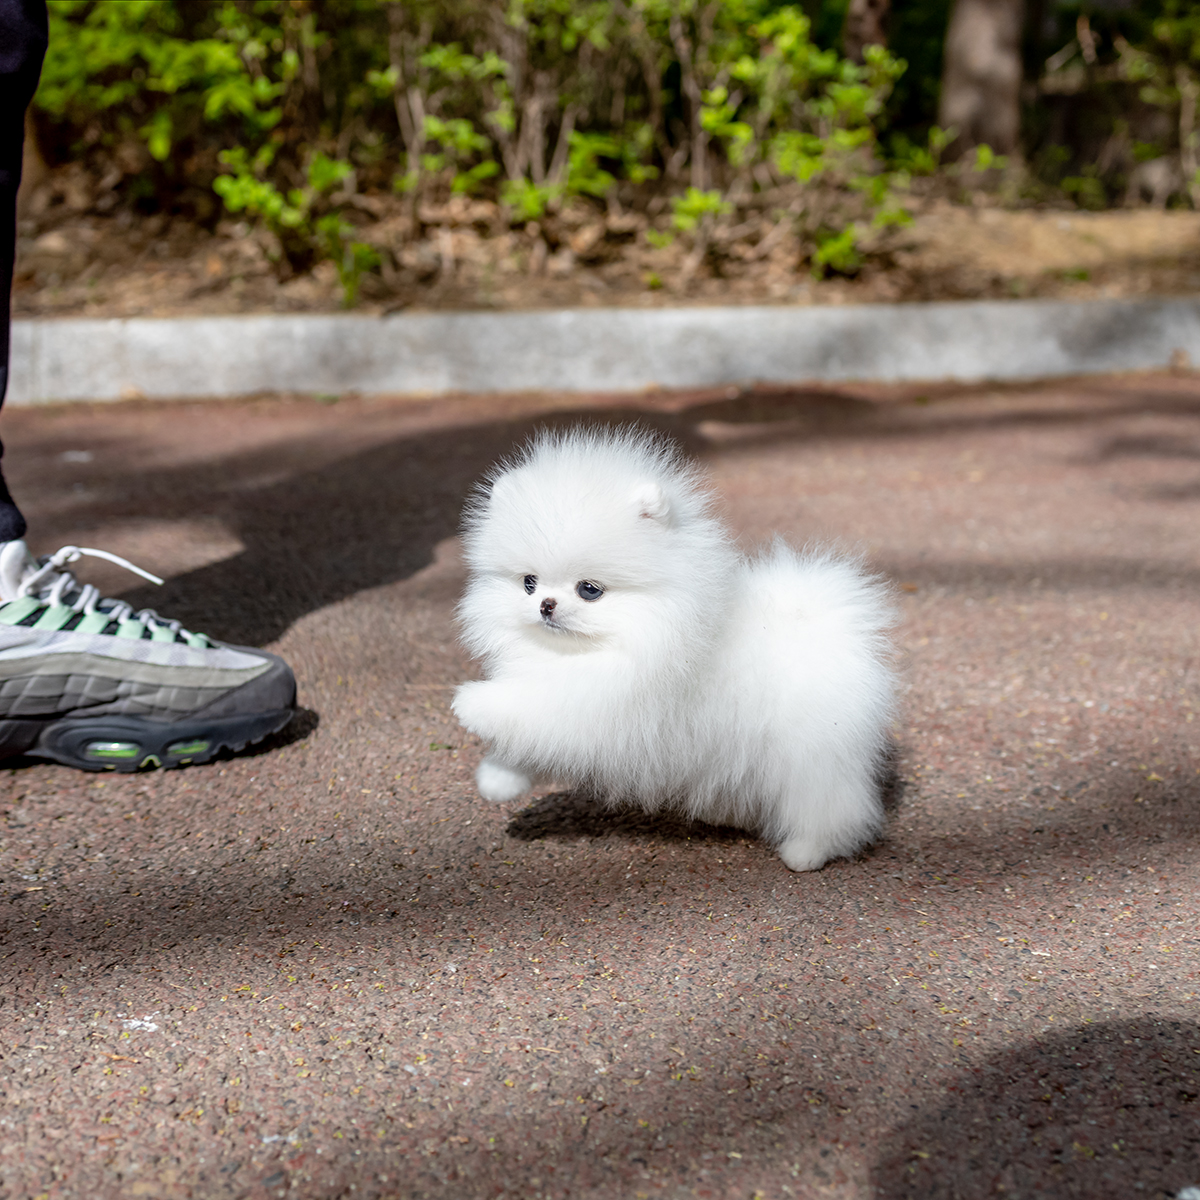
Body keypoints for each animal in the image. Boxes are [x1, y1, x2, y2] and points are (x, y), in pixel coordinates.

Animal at [453, 429, 897, 873]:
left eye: (589, 589)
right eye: (528, 583)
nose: (546, 605)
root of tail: (831, 625)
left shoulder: (604, 706)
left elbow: (531, 707)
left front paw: (470, 704)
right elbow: (527, 732)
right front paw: (498, 780)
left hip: (811, 755)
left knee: (830, 805)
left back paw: (806, 852)